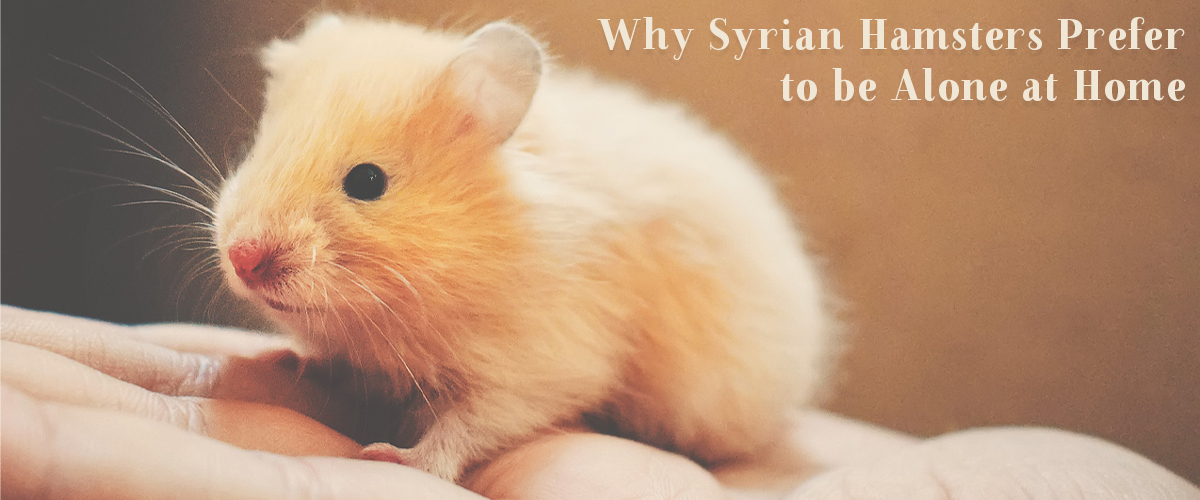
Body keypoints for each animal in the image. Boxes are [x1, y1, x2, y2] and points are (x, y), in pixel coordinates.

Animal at [213, 13, 836, 482]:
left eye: (367, 182)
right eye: (257, 150)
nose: (243, 258)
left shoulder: (539, 367)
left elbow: (467, 427)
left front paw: (395, 458)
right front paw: (290, 362)